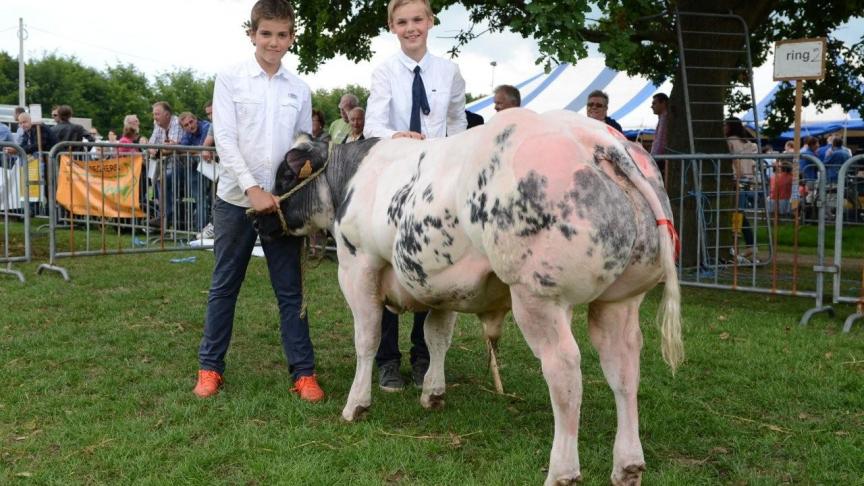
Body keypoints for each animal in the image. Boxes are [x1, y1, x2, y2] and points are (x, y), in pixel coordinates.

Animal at [256, 110, 680, 486]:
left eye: (285, 174)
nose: (258, 218)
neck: (353, 179)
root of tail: (599, 138)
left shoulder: (357, 265)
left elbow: (368, 339)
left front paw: (356, 404)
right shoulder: (443, 285)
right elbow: (436, 338)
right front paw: (433, 393)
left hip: (539, 296)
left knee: (564, 370)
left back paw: (562, 472)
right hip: (621, 300)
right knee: (623, 367)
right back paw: (628, 466)